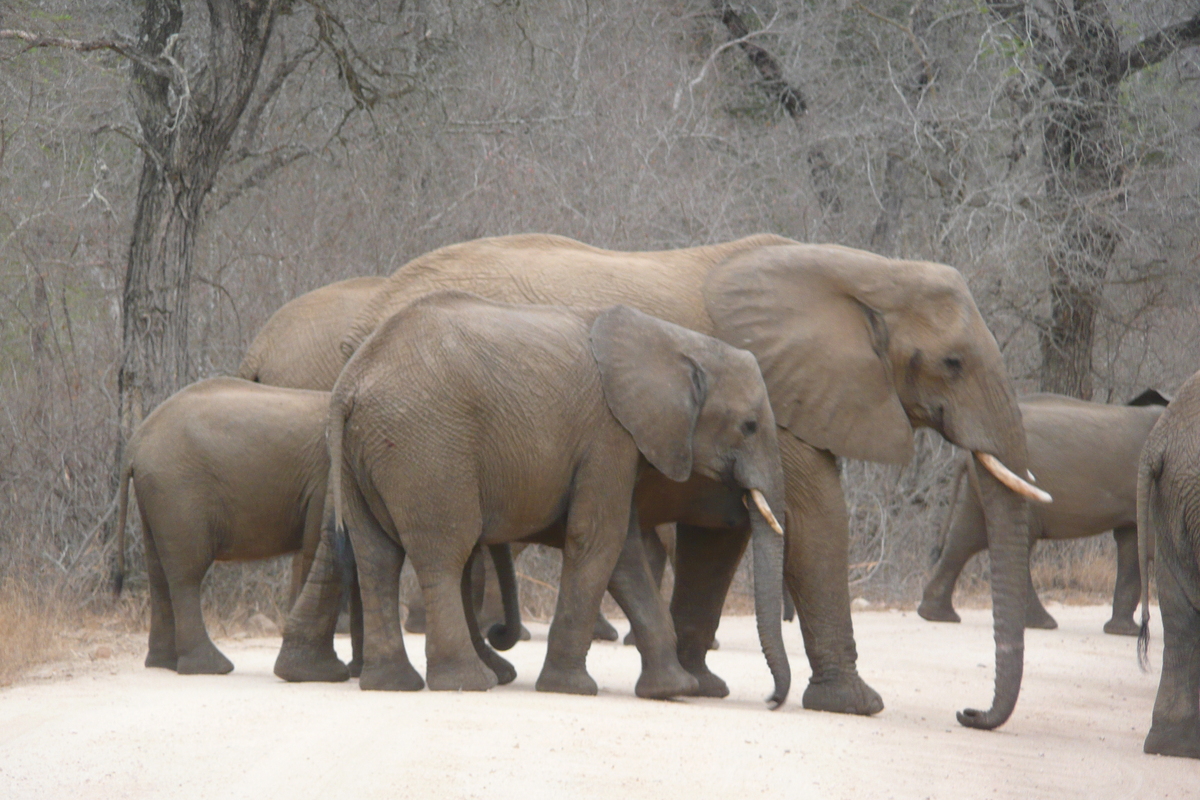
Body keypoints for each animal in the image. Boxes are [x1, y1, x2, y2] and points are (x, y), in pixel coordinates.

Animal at [112, 376, 360, 676]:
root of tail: (135, 443)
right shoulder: (324, 478)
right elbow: (316, 549)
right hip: (177, 489)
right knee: (186, 573)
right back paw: (211, 667)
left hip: (155, 492)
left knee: (158, 572)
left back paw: (164, 664)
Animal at [243, 232, 1041, 734]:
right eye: (953, 364)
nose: (970, 716)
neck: (860, 268)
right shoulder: (785, 408)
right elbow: (815, 520)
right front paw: (856, 706)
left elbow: (716, 536)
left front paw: (699, 689)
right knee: (431, 545)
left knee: (353, 543)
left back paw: (334, 672)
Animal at [921, 388, 1166, 638]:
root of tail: (967, 453)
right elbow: (1149, 545)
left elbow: (1132, 544)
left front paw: (1122, 632)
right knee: (1007, 541)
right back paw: (1042, 623)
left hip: (985, 483)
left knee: (965, 537)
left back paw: (936, 615)